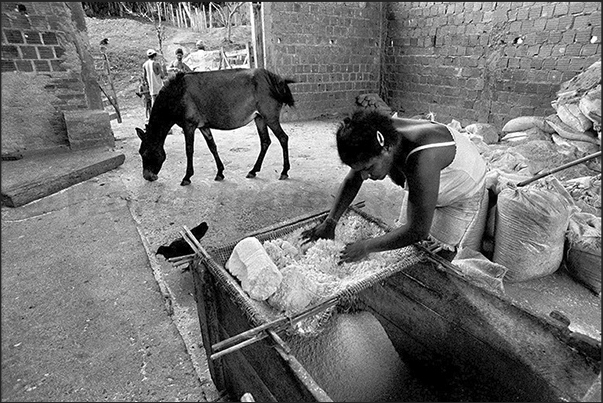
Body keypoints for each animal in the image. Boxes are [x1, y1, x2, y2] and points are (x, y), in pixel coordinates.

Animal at [136, 68, 298, 186]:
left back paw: (284, 171)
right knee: (265, 141)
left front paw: (187, 177)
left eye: (145, 153)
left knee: (283, 138)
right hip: (260, 118)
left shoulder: (189, 126)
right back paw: (253, 170)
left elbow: (189, 150)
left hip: (270, 117)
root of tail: (276, 79)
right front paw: (220, 172)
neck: (178, 94)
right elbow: (212, 146)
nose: (147, 176)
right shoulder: (203, 126)